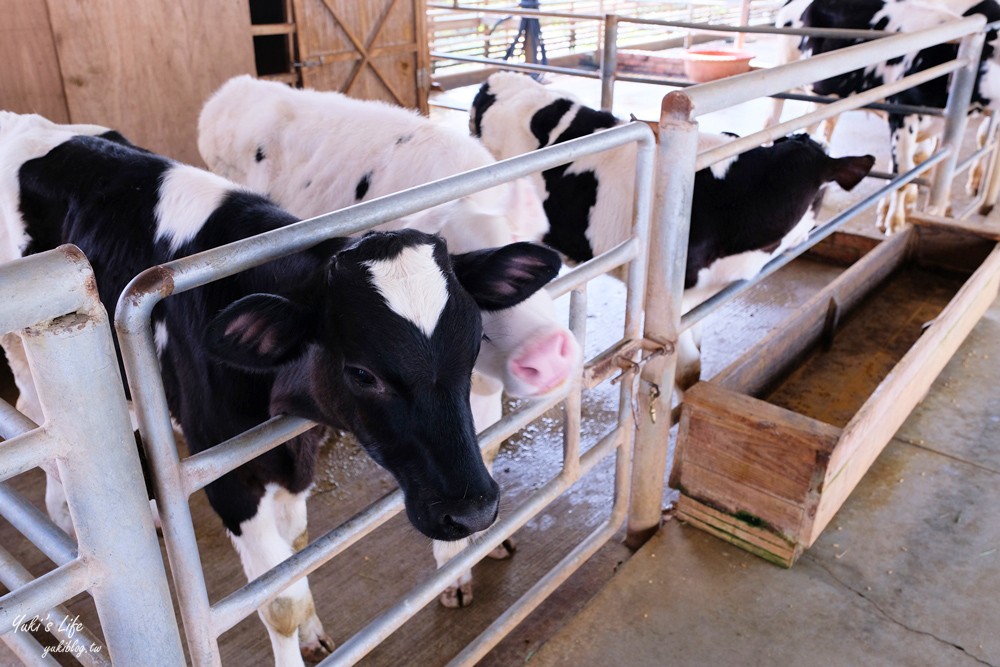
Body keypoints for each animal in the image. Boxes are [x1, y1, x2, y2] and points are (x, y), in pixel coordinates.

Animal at [0, 112, 564, 664]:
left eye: (475, 344)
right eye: (362, 373)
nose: (474, 512)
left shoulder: (298, 453)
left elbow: (295, 555)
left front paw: (314, 629)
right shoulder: (226, 474)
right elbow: (277, 603)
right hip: (26, 344)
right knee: (38, 422)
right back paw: (67, 522)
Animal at [764, 0, 1000, 232]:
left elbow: (934, 164)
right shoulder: (902, 114)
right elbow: (903, 173)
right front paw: (894, 222)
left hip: (824, 96)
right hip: (782, 72)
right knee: (771, 122)